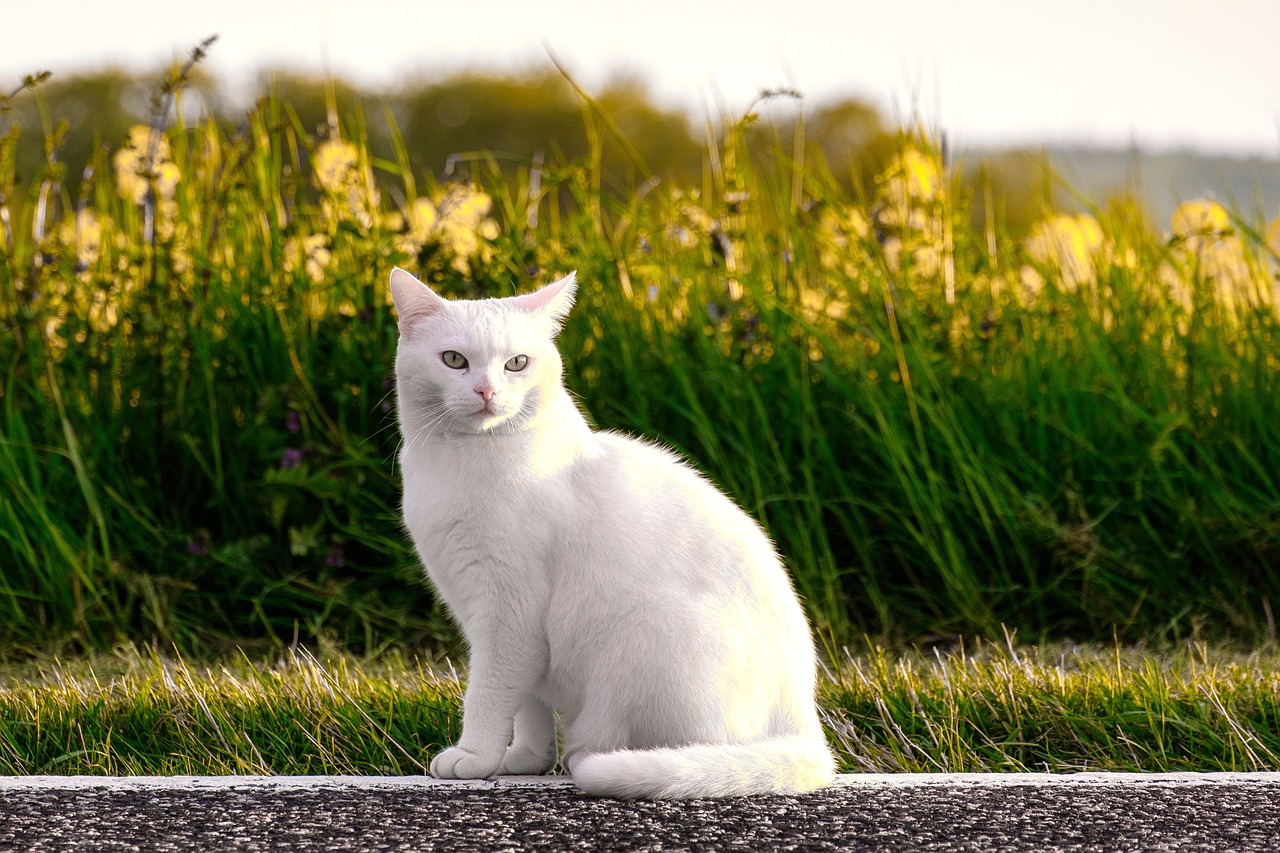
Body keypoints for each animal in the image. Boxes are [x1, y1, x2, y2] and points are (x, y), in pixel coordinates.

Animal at [384, 267, 834, 799]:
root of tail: (804, 722)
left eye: (517, 363)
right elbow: (529, 706)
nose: (487, 392)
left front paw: (474, 757)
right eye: (454, 359)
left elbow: (490, 694)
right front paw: (524, 760)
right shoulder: (503, 624)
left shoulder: (509, 614)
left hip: (645, 632)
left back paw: (594, 757)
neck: (458, 461)